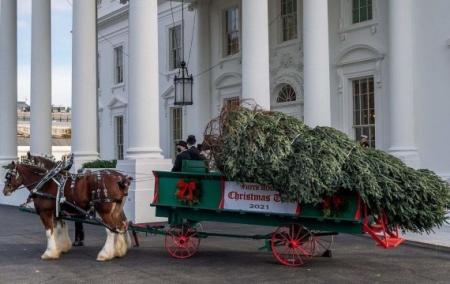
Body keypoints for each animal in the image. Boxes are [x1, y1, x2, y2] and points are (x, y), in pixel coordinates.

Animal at [2, 161, 133, 260]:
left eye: (9, 175)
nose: (4, 191)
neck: (45, 183)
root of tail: (120, 178)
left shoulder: (45, 212)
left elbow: (49, 232)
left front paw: (49, 253)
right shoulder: (57, 212)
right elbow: (59, 229)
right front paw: (61, 248)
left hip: (104, 211)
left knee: (111, 230)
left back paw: (105, 254)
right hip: (117, 209)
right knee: (120, 226)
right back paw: (119, 250)